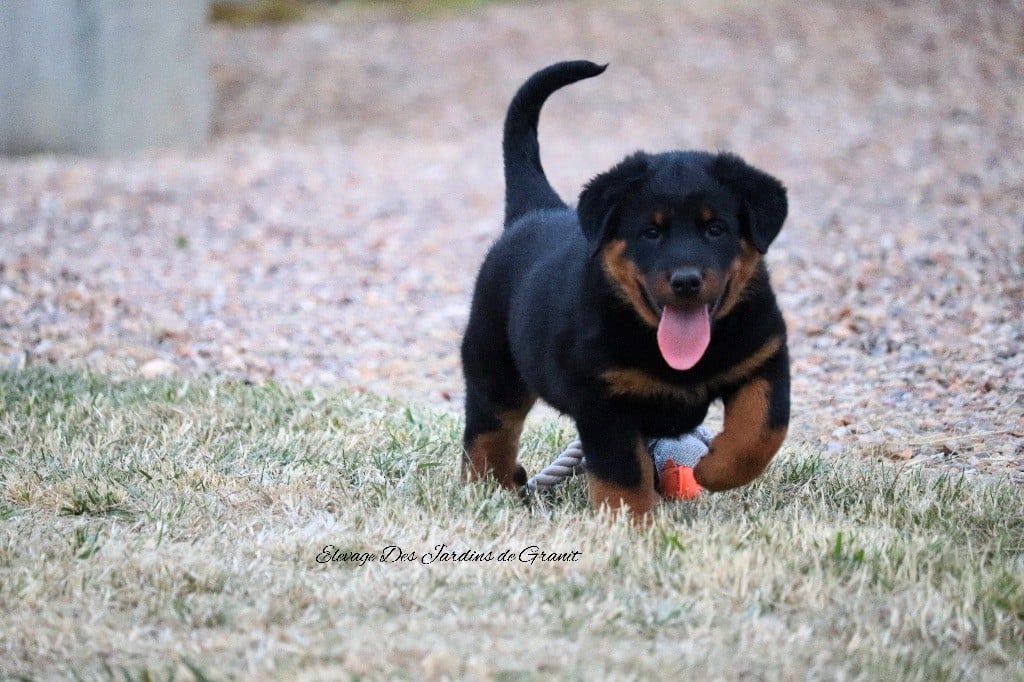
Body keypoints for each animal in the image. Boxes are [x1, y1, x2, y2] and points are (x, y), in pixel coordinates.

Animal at [462, 61, 790, 516]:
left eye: (716, 229)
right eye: (651, 232)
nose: (685, 280)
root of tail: (537, 210)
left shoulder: (765, 355)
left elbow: (762, 430)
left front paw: (713, 470)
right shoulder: (604, 398)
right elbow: (623, 473)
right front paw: (633, 522)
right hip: (493, 364)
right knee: (489, 431)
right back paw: (486, 488)